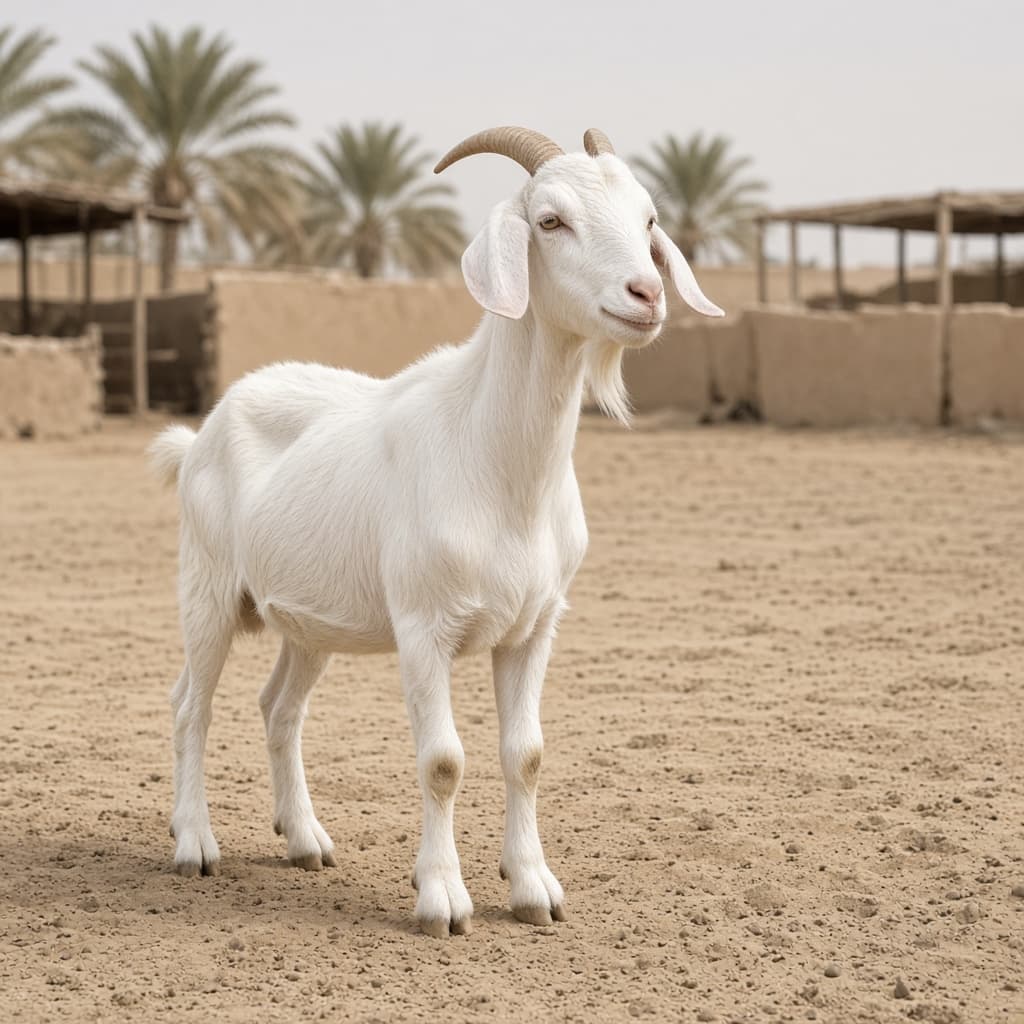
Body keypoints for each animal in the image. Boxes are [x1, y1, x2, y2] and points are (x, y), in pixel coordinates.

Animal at [149, 126, 723, 937]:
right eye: (550, 221)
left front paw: (534, 888)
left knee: (279, 709)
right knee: (190, 705)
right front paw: (443, 900)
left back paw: (304, 839)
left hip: (307, 620)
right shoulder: (424, 626)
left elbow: (527, 753)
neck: (498, 469)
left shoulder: (535, 627)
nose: (646, 295)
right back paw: (194, 843)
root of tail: (200, 432)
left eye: (648, 220)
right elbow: (443, 760)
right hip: (207, 589)